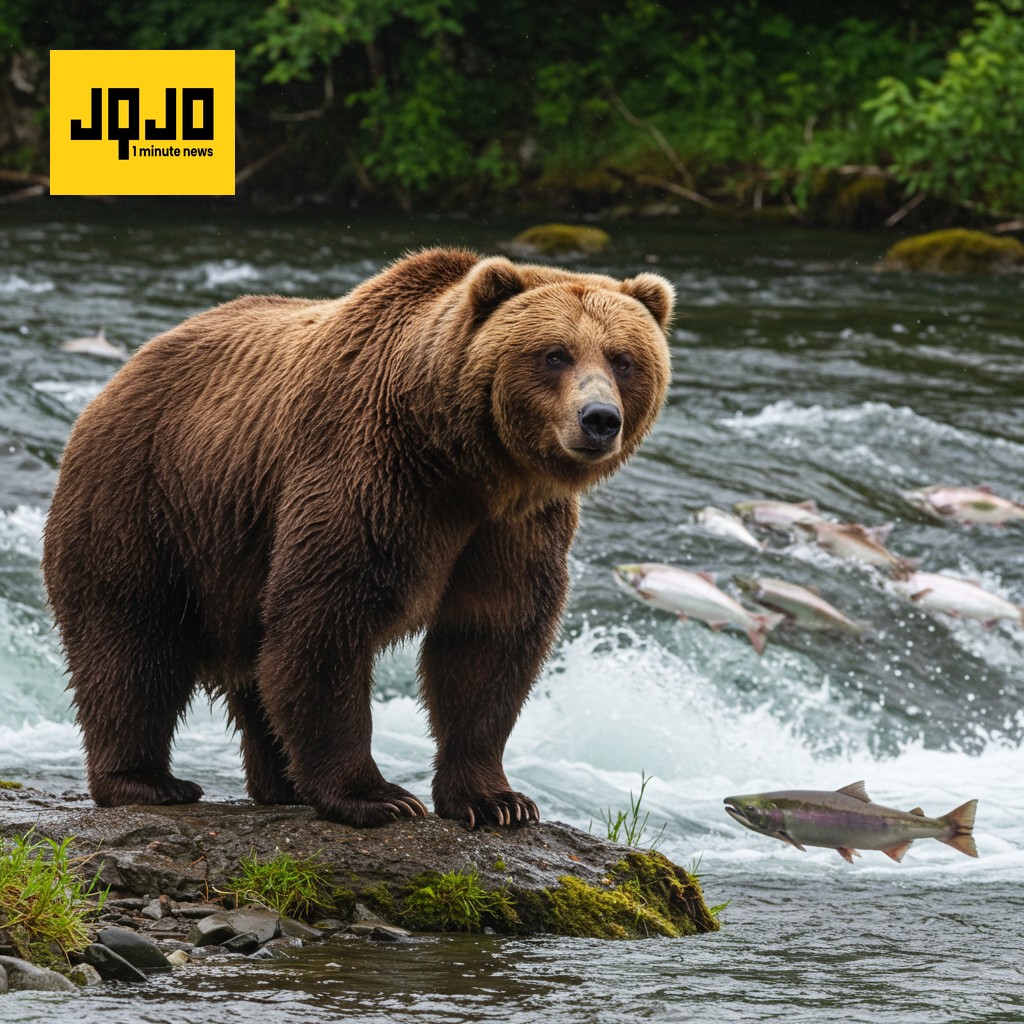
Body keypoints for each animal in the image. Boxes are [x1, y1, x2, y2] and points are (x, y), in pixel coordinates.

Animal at [42, 247, 673, 828]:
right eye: (555, 354)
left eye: (623, 359)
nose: (599, 419)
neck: (466, 466)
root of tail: (123, 373)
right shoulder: (372, 476)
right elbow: (326, 623)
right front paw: (379, 797)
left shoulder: (513, 528)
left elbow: (489, 640)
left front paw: (498, 801)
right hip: (147, 502)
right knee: (131, 642)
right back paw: (148, 781)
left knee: (249, 664)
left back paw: (281, 784)